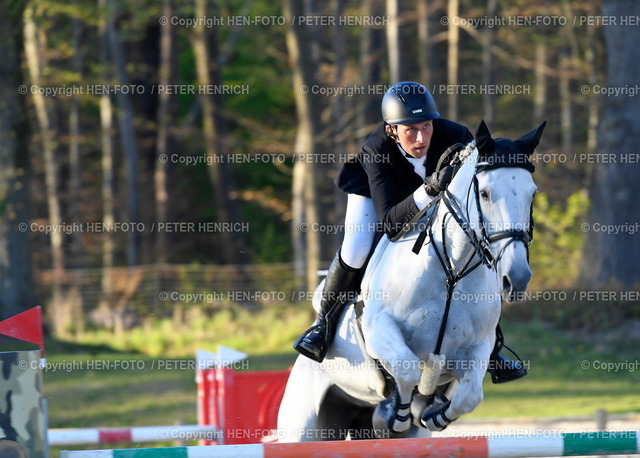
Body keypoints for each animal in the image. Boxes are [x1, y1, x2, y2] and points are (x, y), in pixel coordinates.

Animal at [278, 120, 548, 442]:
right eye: (484, 193)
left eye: (532, 193)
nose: (516, 278)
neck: (451, 275)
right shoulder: (381, 332)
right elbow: (407, 370)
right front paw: (396, 414)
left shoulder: (478, 348)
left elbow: (470, 395)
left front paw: (431, 413)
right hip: (303, 424)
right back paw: (317, 339)